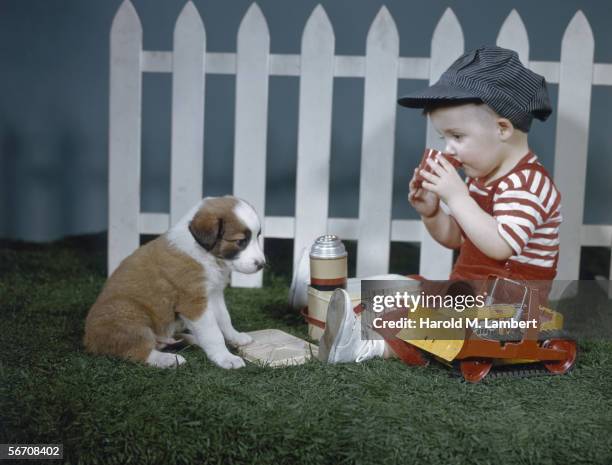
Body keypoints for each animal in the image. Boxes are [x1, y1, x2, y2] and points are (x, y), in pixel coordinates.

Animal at [82, 196, 264, 370]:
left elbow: (224, 318)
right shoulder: (193, 303)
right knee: (138, 350)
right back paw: (168, 359)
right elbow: (213, 333)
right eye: (241, 241)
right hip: (127, 314)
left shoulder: (213, 294)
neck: (205, 254)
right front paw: (225, 357)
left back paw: (190, 340)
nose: (262, 264)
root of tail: (88, 341)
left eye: (257, 237)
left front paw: (235, 337)